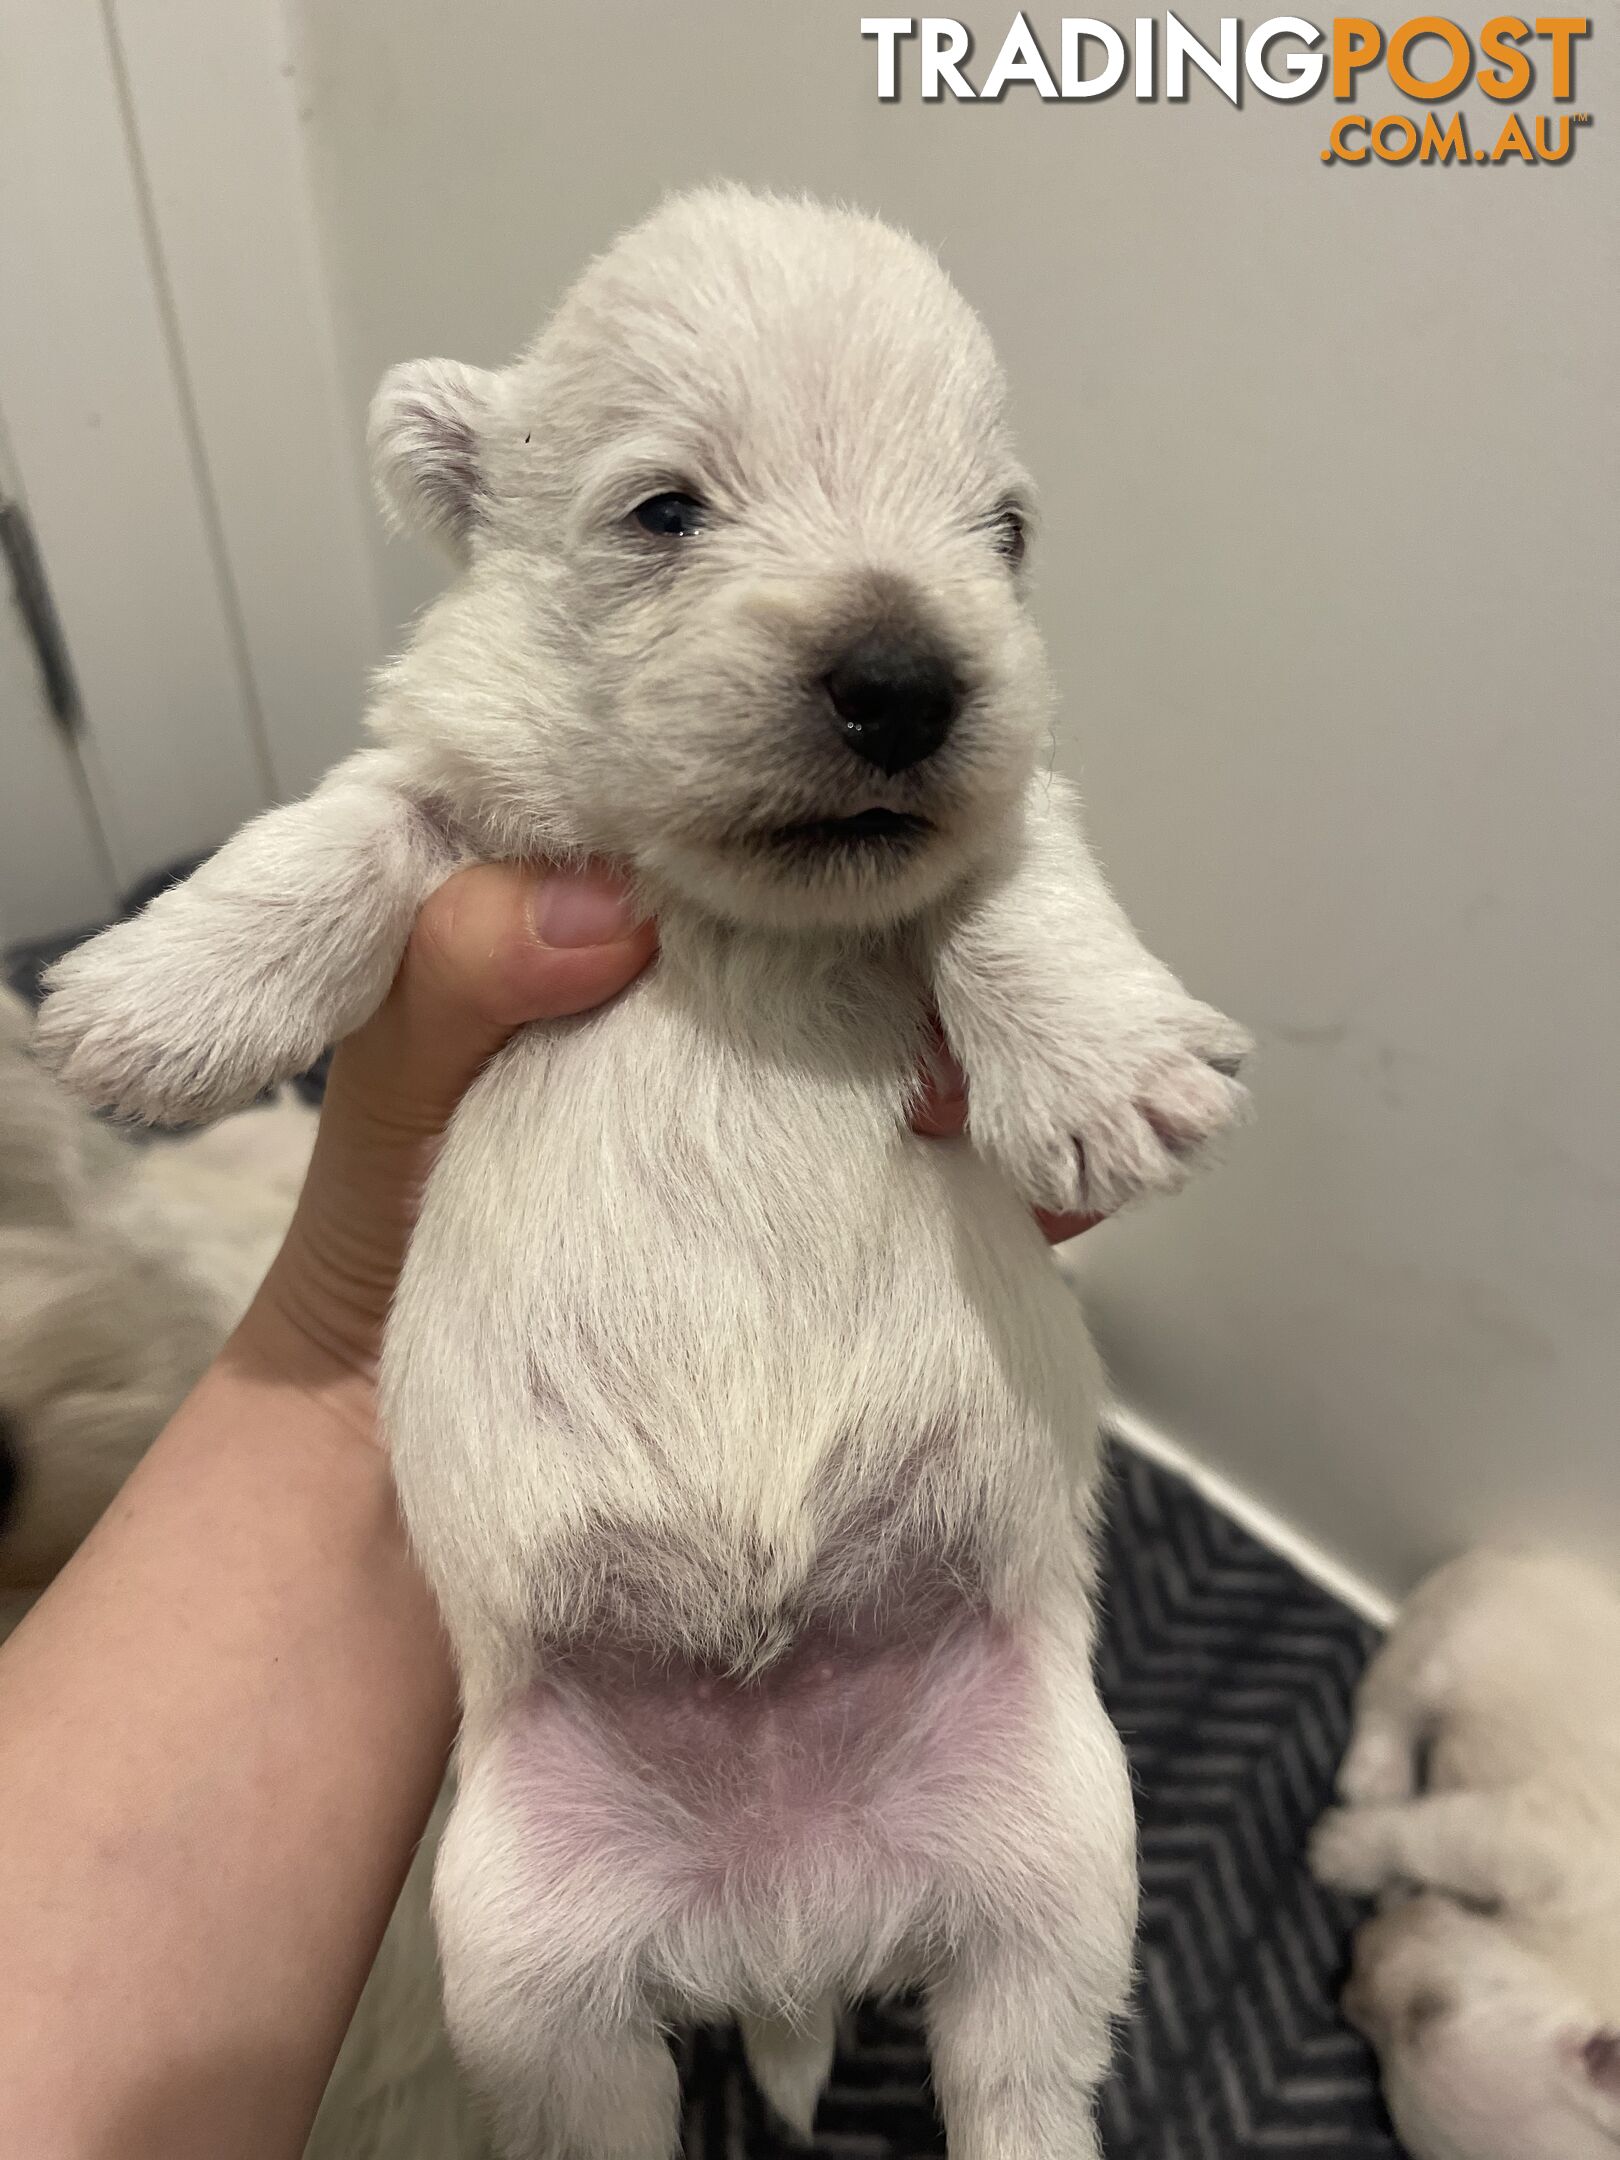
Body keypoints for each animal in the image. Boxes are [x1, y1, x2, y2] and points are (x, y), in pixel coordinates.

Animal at [1313, 1555, 1620, 2160]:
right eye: (1433, 2011)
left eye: (1419, 2021)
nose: (1351, 1962)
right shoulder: (1534, 1841)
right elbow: (1422, 1838)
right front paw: (1339, 1854)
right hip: (1455, 1641)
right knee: (1391, 1695)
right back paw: (1376, 1776)